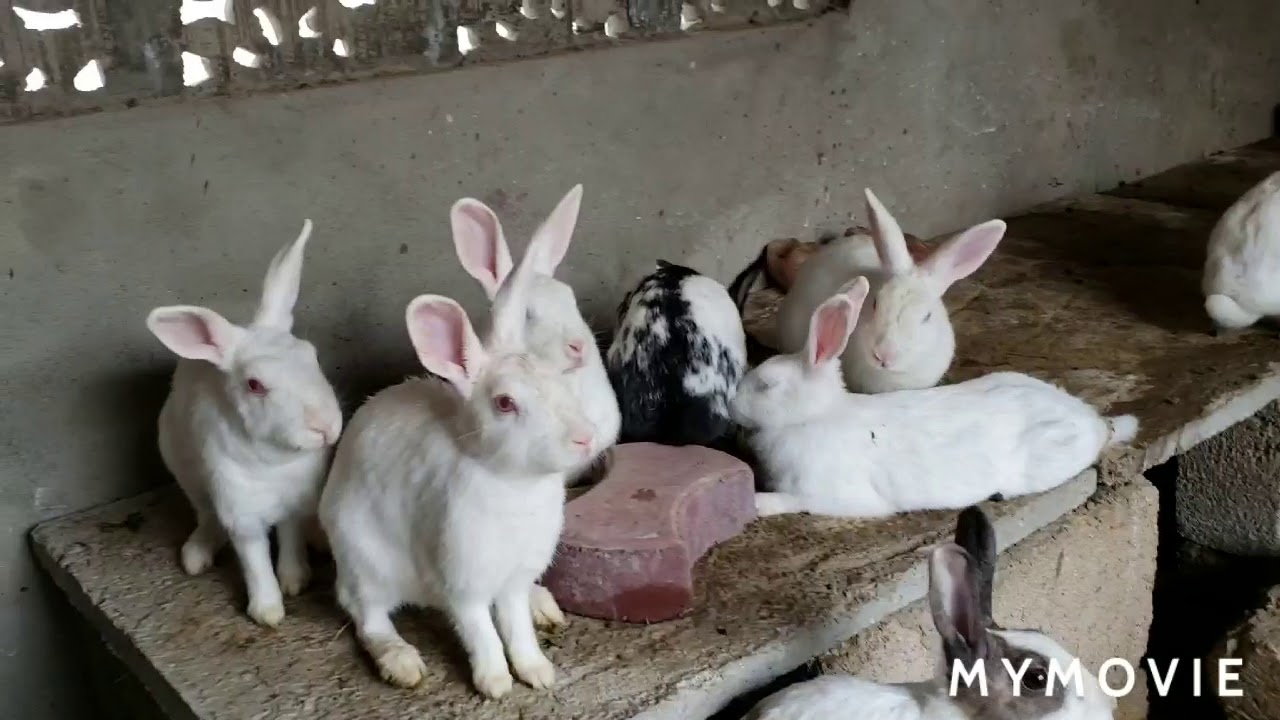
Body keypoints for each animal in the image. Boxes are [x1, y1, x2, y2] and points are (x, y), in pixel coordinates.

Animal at [145, 219, 343, 627]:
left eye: (312, 355)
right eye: (255, 385)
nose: (326, 427)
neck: (277, 460)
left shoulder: (295, 502)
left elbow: (291, 536)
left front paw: (295, 578)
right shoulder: (241, 513)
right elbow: (254, 560)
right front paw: (268, 611)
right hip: (187, 474)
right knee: (205, 515)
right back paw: (196, 554)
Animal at [317, 230, 598, 699]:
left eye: (555, 379)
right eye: (505, 403)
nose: (585, 437)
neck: (515, 483)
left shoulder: (514, 579)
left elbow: (516, 626)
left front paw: (537, 672)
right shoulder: (465, 583)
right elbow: (481, 631)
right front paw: (496, 684)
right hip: (366, 563)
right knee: (365, 615)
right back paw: (401, 662)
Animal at [733, 276, 1138, 519]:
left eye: (766, 384)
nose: (732, 406)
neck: (813, 417)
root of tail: (1093, 422)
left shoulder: (833, 494)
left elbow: (795, 501)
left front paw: (758, 502)